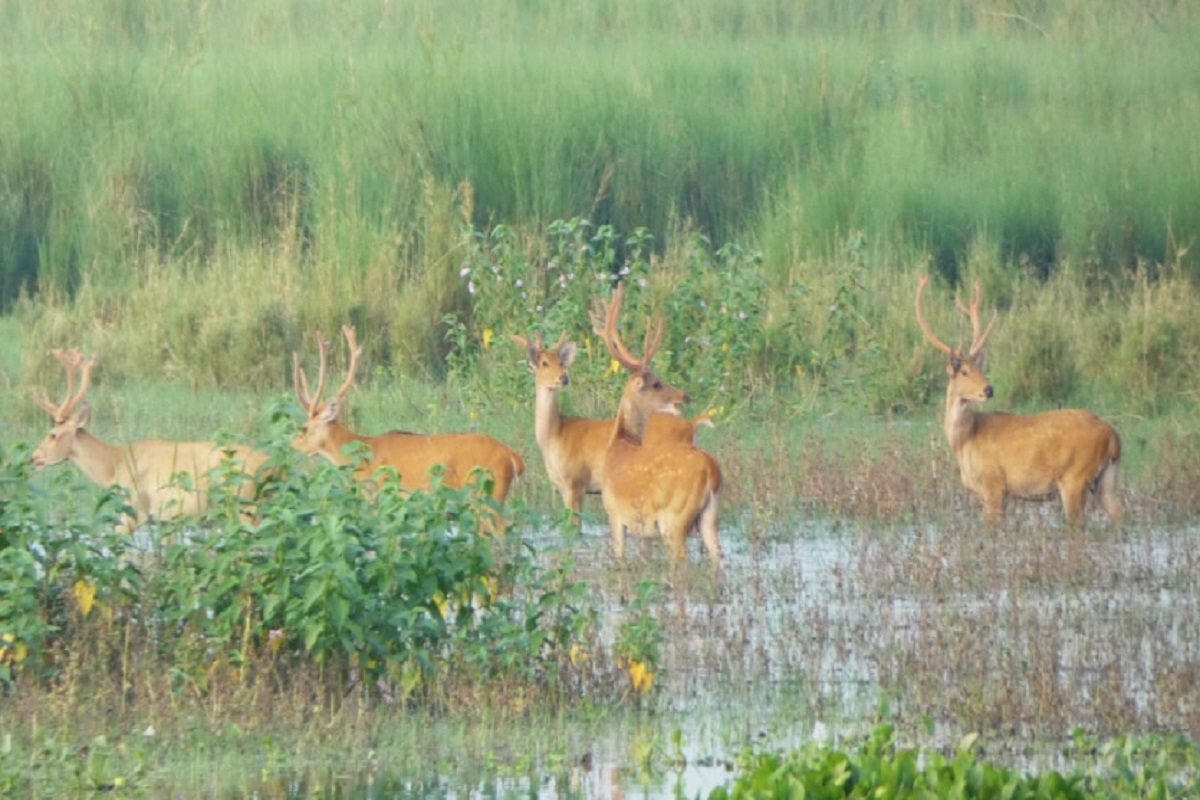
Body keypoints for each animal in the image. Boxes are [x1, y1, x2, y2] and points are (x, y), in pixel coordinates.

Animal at [29, 347, 270, 532]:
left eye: (53, 434)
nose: (34, 457)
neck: (114, 464)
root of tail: (272, 467)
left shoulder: (134, 510)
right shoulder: (165, 522)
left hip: (247, 508)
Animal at [290, 326, 525, 513]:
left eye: (304, 428)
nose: (292, 445)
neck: (364, 456)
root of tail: (512, 456)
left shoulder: (380, 493)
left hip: (487, 493)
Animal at [508, 328, 710, 527]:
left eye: (561, 362)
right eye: (544, 363)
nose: (563, 378)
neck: (554, 435)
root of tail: (692, 425)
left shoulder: (574, 483)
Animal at [583, 281, 715, 563]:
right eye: (656, 383)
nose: (685, 395)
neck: (620, 442)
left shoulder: (615, 514)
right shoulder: (642, 530)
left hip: (676, 518)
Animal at [916, 272, 1123, 527]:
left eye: (978, 368)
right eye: (964, 371)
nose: (988, 389)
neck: (963, 441)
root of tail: (1113, 438)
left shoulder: (993, 483)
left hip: (1074, 477)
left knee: (1078, 523)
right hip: (1108, 477)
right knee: (1120, 515)